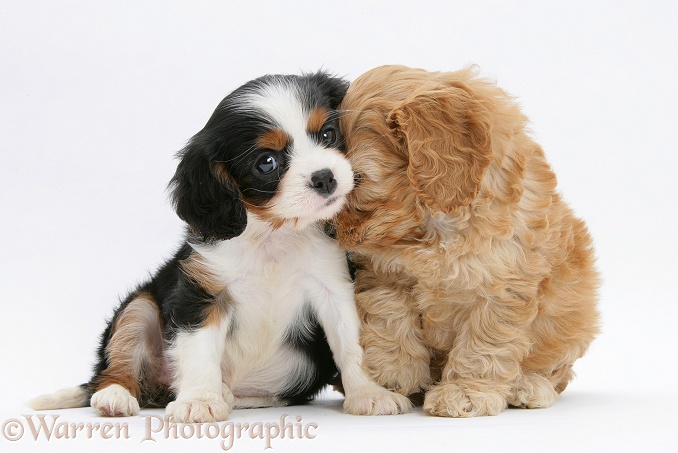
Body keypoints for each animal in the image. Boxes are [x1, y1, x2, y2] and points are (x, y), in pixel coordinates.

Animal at [30, 70, 410, 420]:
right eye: (267, 163)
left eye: (329, 134)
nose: (326, 178)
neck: (274, 234)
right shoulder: (202, 293)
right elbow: (199, 352)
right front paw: (199, 401)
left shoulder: (333, 287)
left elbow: (353, 344)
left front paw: (370, 394)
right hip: (139, 308)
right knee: (113, 368)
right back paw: (116, 396)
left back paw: (231, 394)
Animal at [334, 64, 600, 416]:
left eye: (357, 179)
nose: (336, 231)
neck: (433, 226)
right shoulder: (384, 273)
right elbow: (390, 319)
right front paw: (393, 378)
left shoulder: (501, 288)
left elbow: (482, 346)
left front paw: (465, 393)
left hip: (574, 316)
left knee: (556, 371)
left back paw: (529, 385)